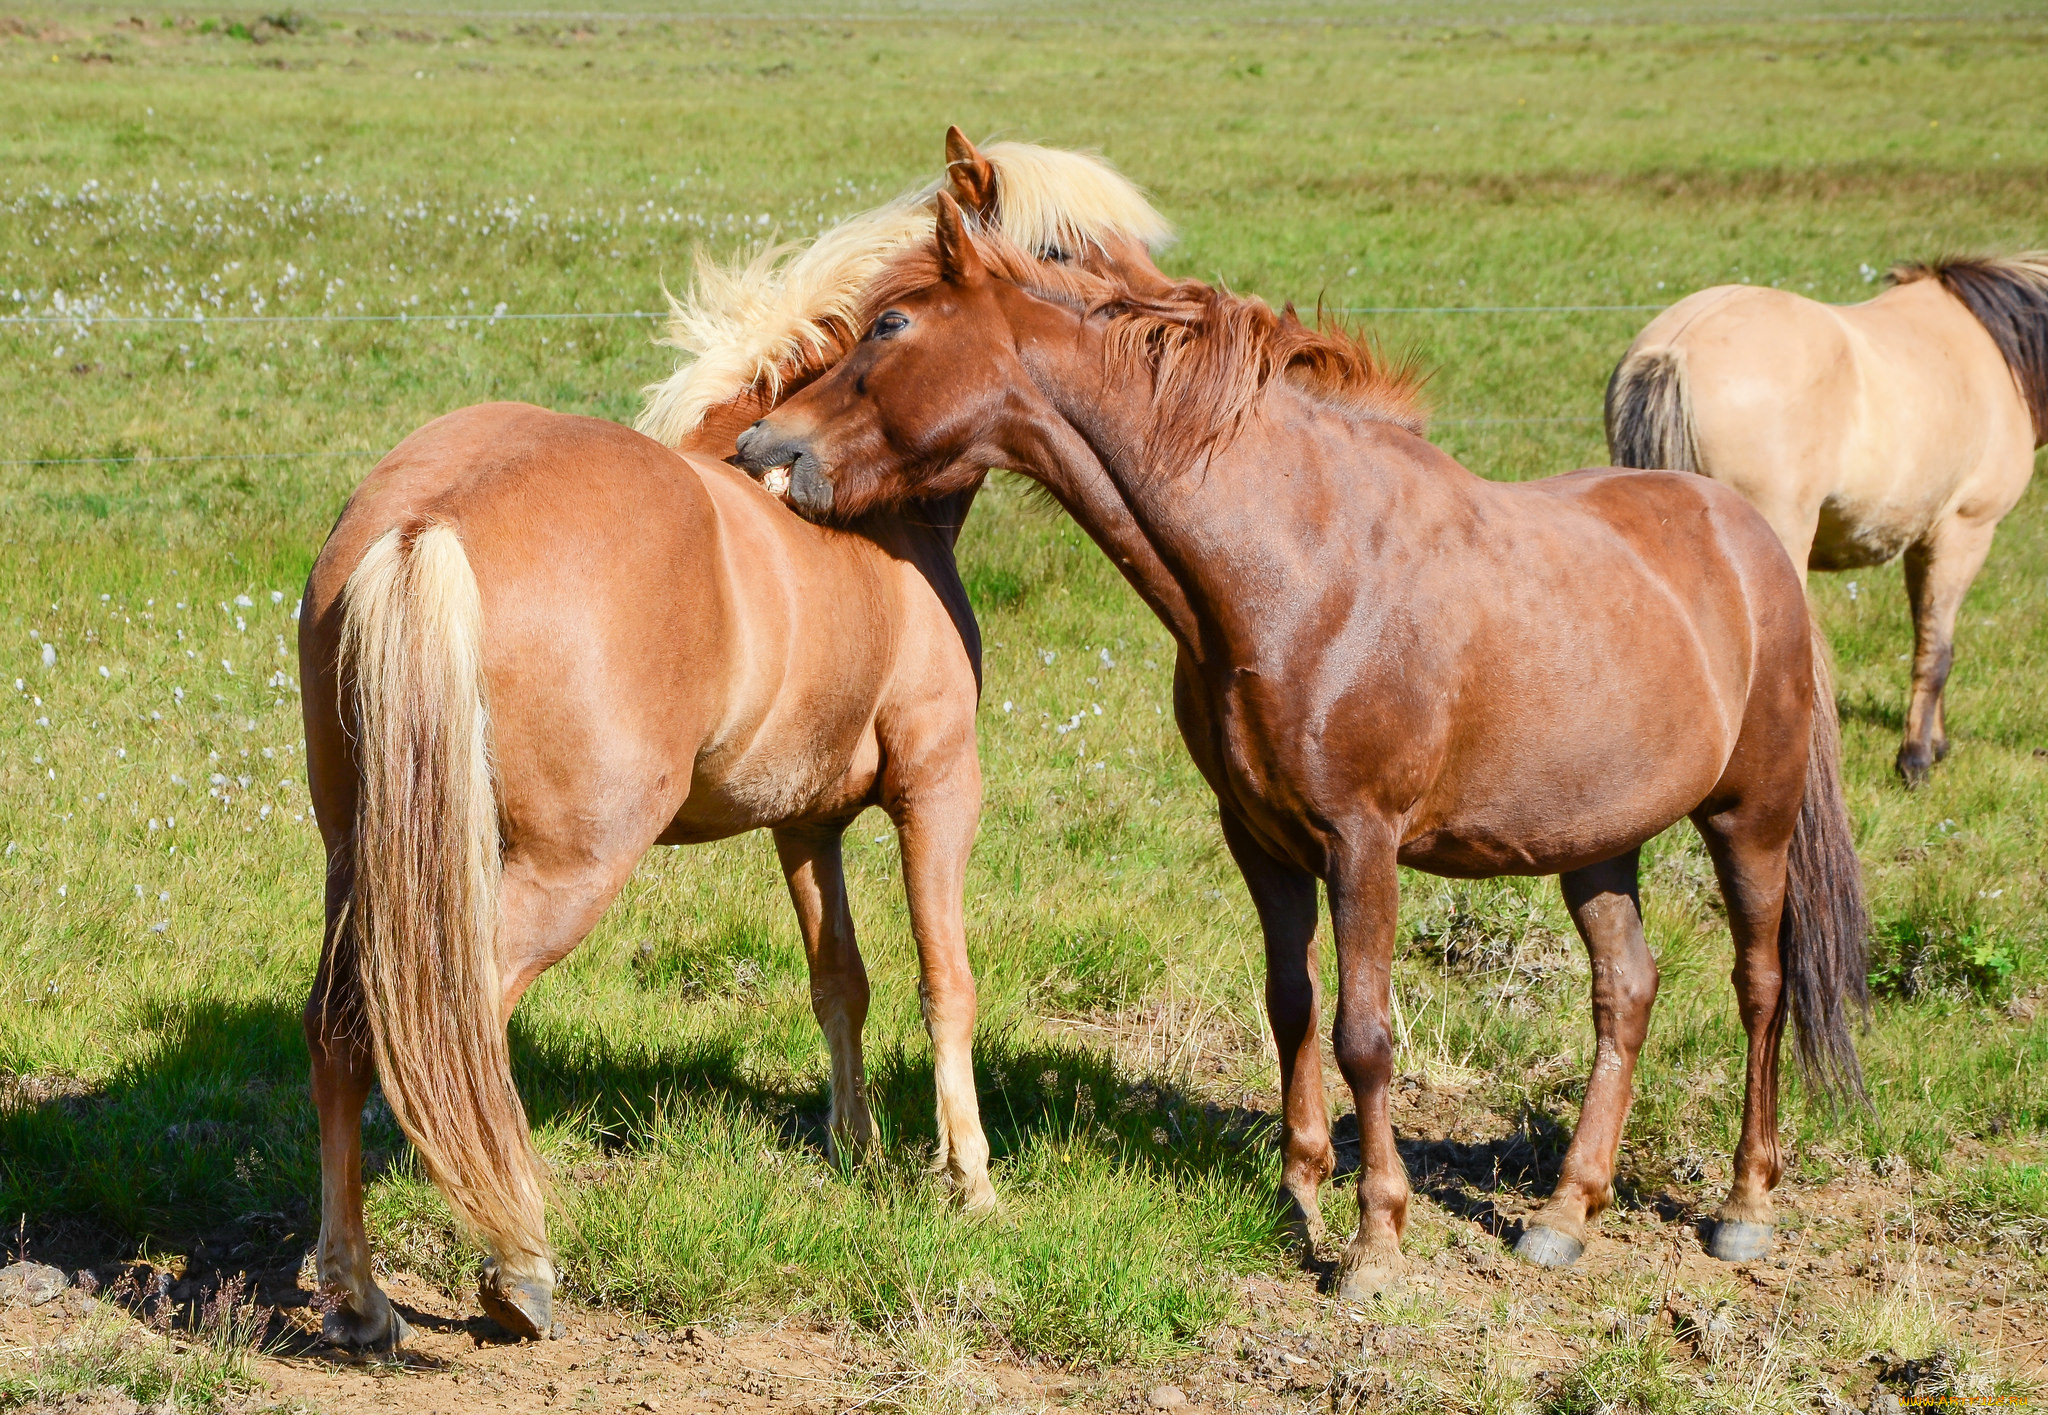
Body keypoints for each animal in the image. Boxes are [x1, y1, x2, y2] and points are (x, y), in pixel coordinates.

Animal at [296, 133, 1179, 1351]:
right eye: (1069, 257)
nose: (1169, 323)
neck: (877, 518)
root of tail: (426, 519)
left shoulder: (805, 820)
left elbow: (840, 978)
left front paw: (855, 1148)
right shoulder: (938, 788)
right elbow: (944, 977)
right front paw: (970, 1179)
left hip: (363, 857)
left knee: (341, 1029)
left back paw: (359, 1293)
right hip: (552, 872)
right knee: (447, 1029)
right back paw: (517, 1267)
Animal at [733, 196, 1875, 1294]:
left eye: (890, 323)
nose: (762, 450)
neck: (1300, 565)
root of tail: (1751, 540)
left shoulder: (1362, 843)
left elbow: (1364, 1035)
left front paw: (1375, 1241)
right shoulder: (1261, 838)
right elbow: (1292, 1005)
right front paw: (1299, 1198)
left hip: (1751, 819)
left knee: (1760, 983)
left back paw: (1744, 1203)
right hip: (1595, 840)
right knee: (1624, 992)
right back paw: (1563, 1212)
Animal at [1613, 255, 2048, 786]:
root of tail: (1676, 348)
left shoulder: (1921, 541)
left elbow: (1927, 633)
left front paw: (1935, 743)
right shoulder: (1965, 531)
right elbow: (1937, 651)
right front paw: (1916, 760)